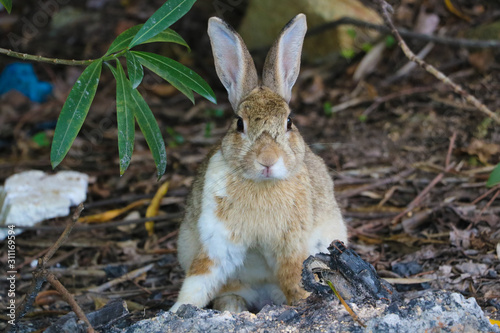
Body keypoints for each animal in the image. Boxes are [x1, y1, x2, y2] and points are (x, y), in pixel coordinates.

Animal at [169, 13, 348, 312]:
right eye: (239, 124)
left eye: (289, 122)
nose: (267, 160)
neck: (262, 185)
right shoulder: (218, 240)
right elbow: (201, 277)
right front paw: (177, 310)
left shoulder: (292, 245)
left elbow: (294, 277)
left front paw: (303, 303)